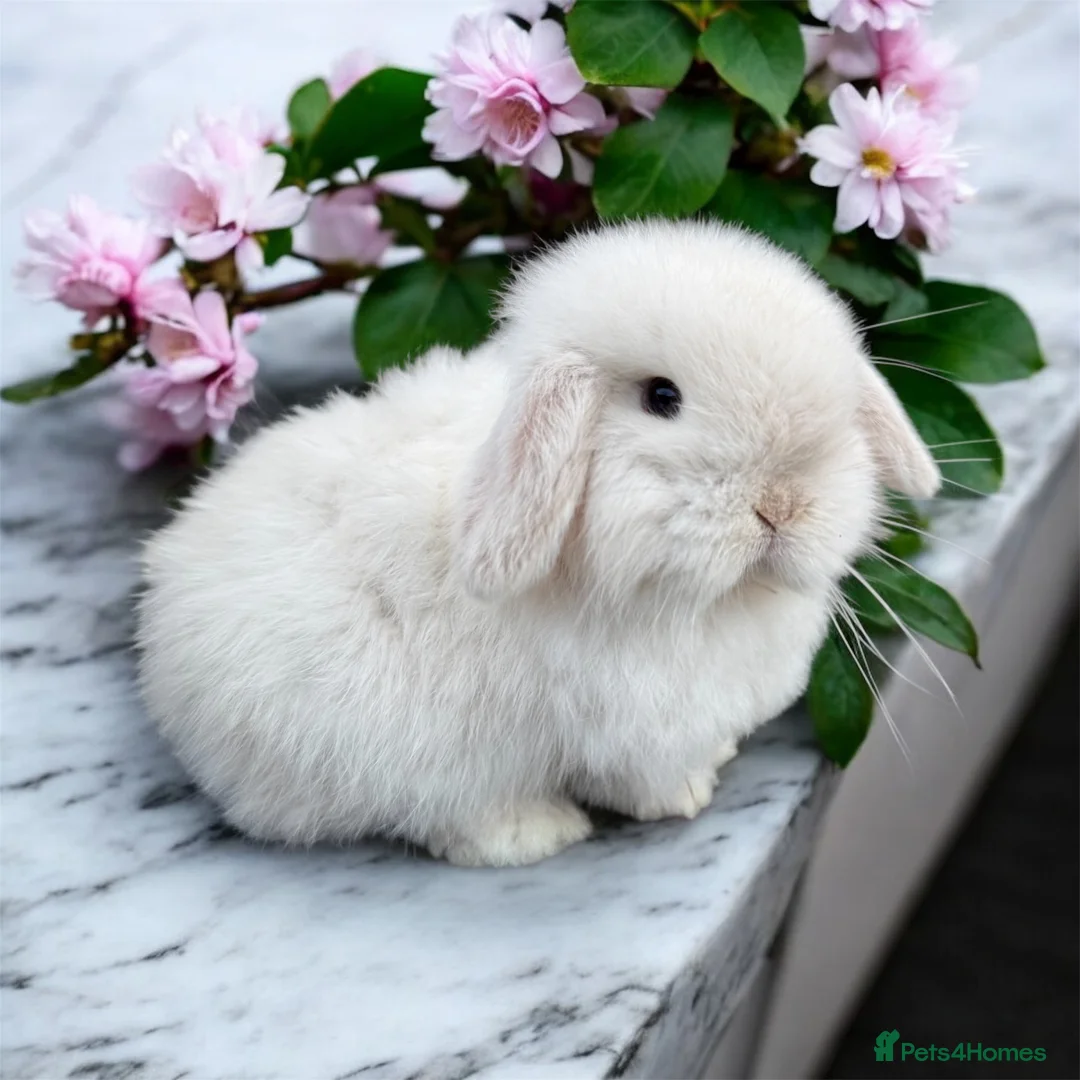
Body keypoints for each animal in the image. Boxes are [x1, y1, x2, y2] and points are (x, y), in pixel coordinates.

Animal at [134, 219, 940, 867]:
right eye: (662, 398)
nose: (781, 507)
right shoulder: (624, 726)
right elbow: (637, 776)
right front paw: (683, 796)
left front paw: (707, 767)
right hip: (407, 750)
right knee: (452, 813)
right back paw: (536, 832)